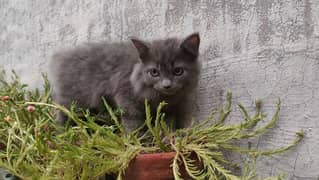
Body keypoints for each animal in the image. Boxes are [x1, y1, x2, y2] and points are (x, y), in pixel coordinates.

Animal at [49, 33, 201, 132]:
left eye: (178, 71)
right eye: (154, 72)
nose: (166, 85)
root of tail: (60, 57)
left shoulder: (168, 109)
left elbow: (166, 122)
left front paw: (167, 136)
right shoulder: (126, 98)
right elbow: (133, 123)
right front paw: (139, 142)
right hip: (72, 102)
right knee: (63, 116)